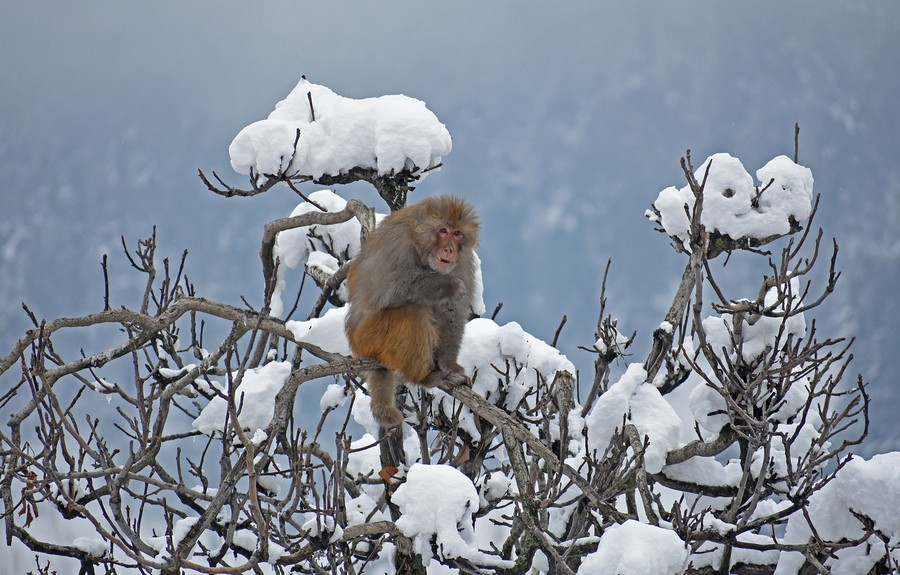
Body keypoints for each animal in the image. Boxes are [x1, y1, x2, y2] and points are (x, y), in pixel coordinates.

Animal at [344, 195, 480, 428]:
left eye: (457, 234)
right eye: (443, 230)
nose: (449, 249)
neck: (420, 245)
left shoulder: (461, 263)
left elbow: (452, 315)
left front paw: (449, 365)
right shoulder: (398, 246)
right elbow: (379, 289)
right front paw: (445, 285)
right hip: (367, 337)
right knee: (411, 308)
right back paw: (424, 377)